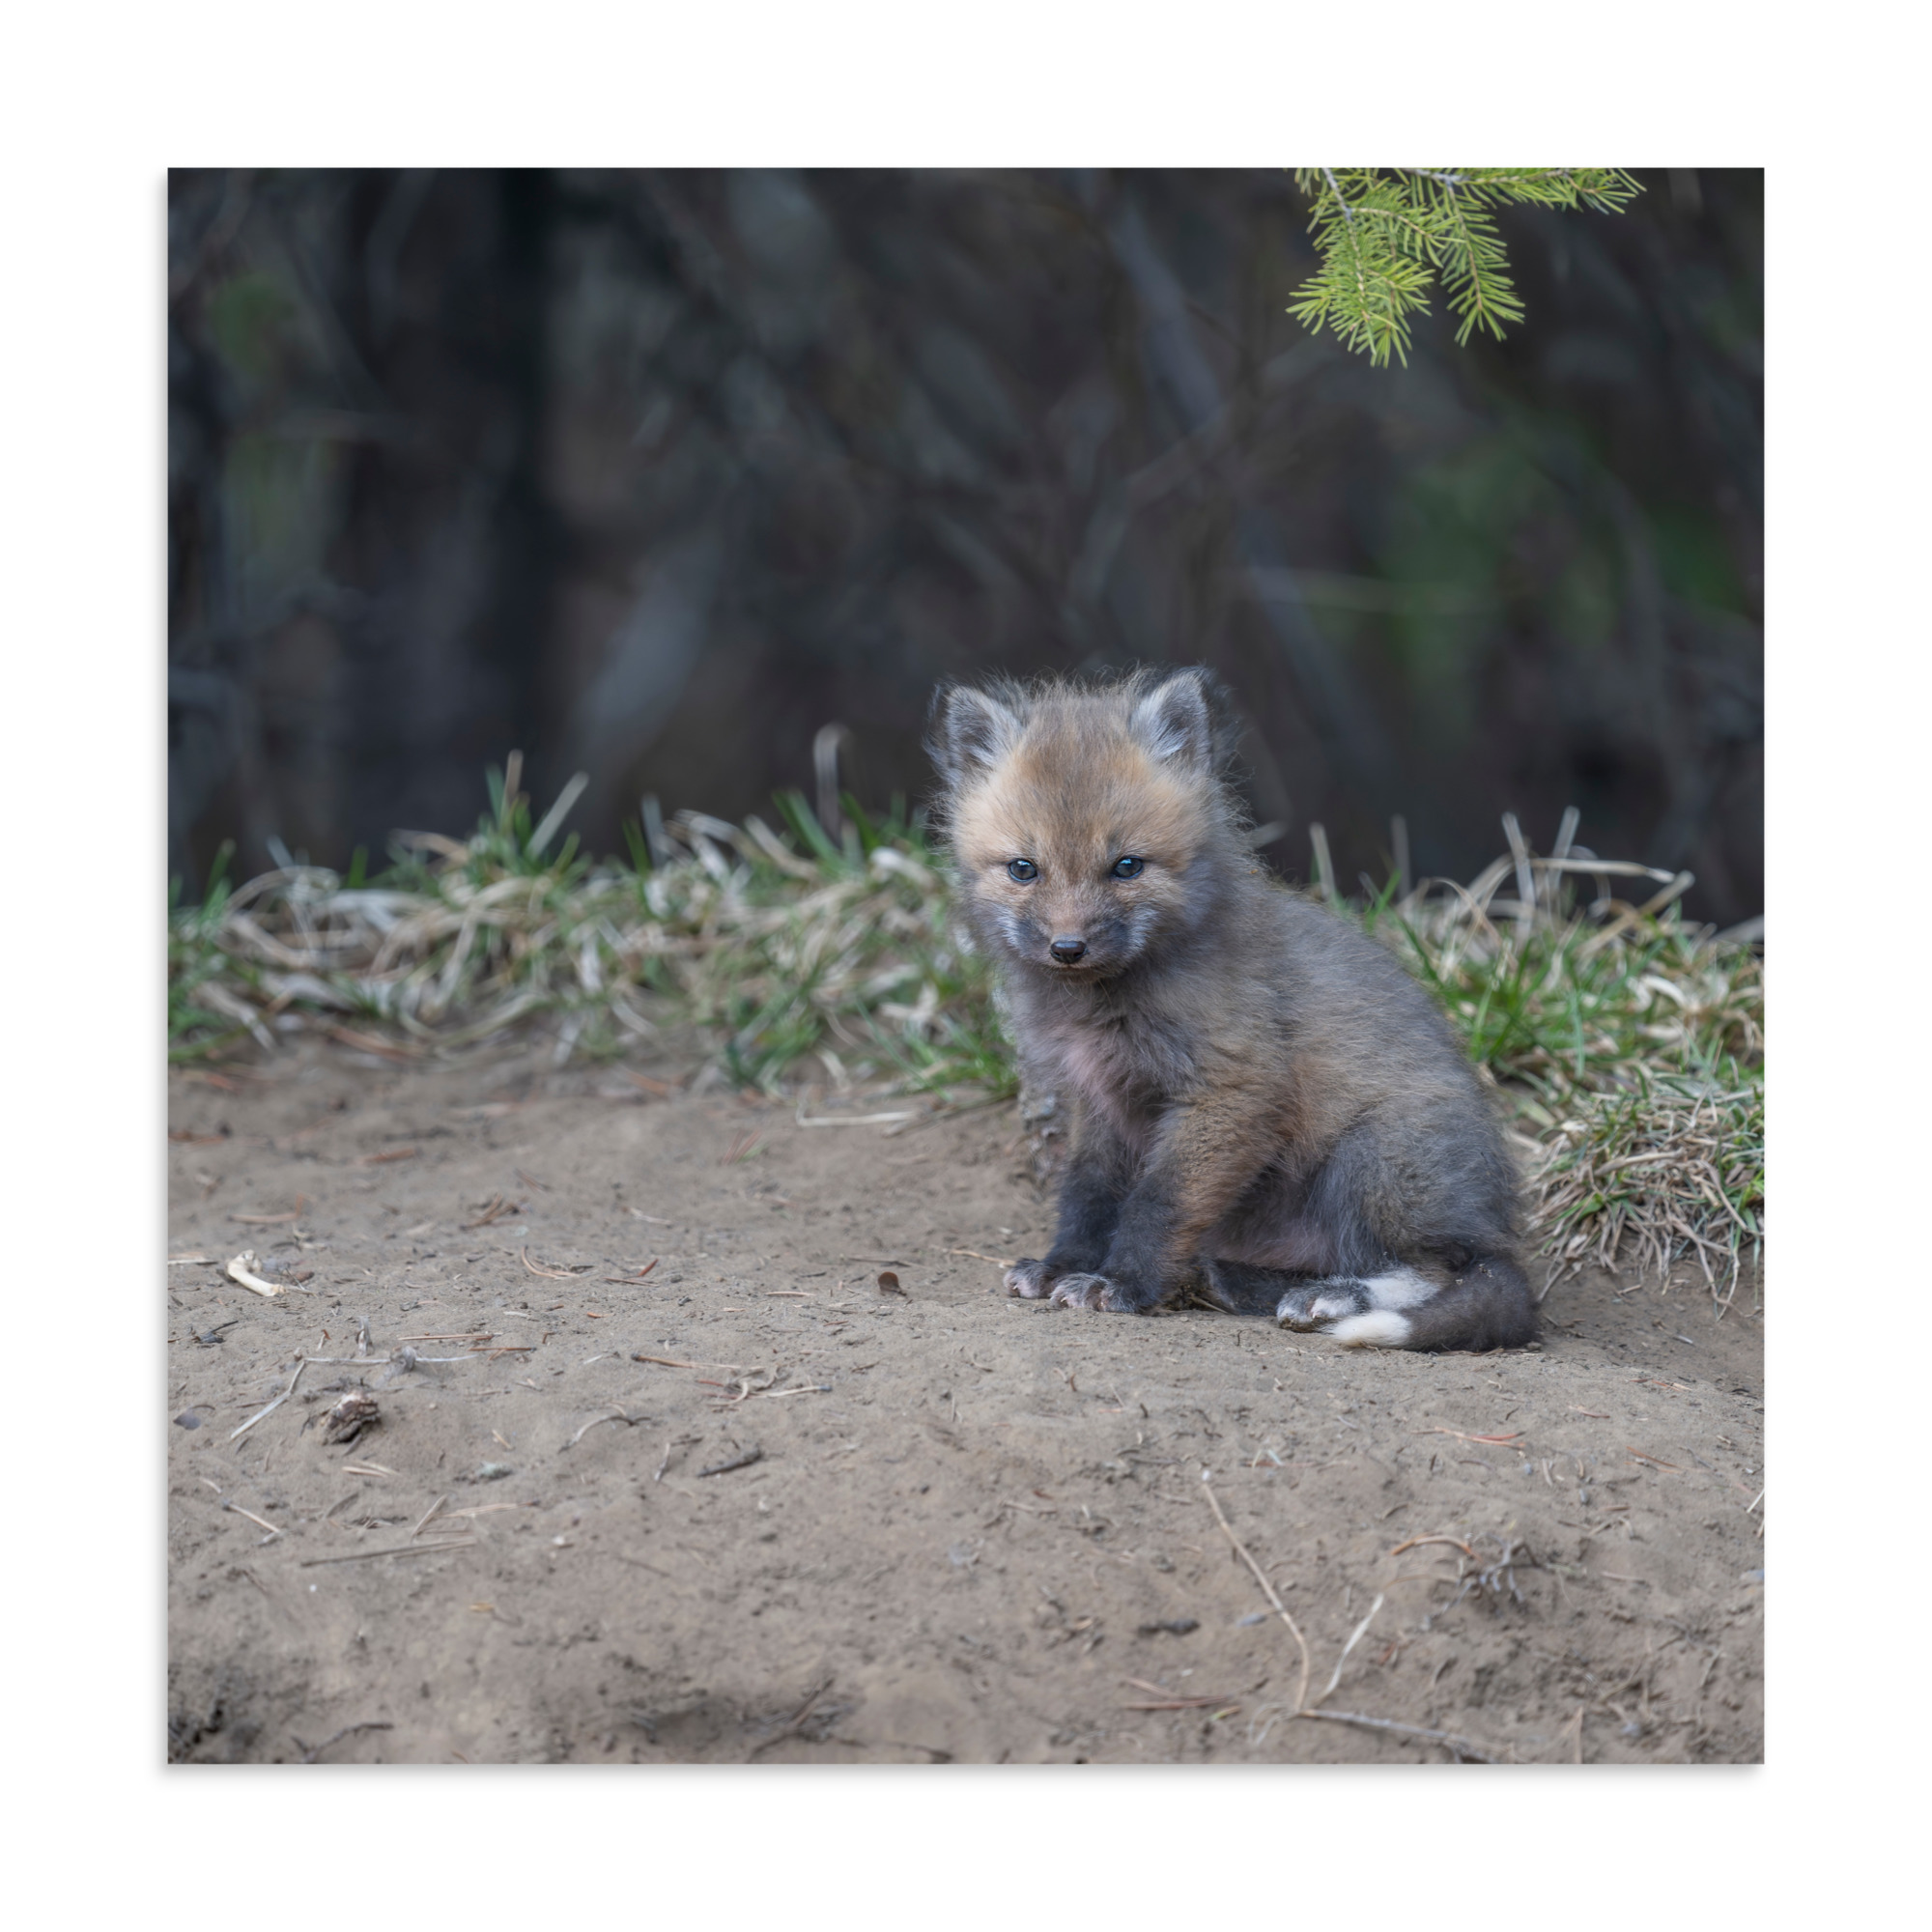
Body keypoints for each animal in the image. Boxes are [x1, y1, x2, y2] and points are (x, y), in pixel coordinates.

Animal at [927, 666, 1536, 1352]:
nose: (1068, 948)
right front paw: (1064, 1265)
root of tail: (1496, 1224)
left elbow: (1158, 1203)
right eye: (1023, 869)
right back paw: (1239, 1281)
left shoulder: (1230, 1089)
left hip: (1373, 1159)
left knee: (1443, 1269)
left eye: (1127, 866)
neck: (1104, 1007)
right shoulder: (1101, 1102)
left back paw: (1332, 1297)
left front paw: (1123, 1285)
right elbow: (1087, 1196)